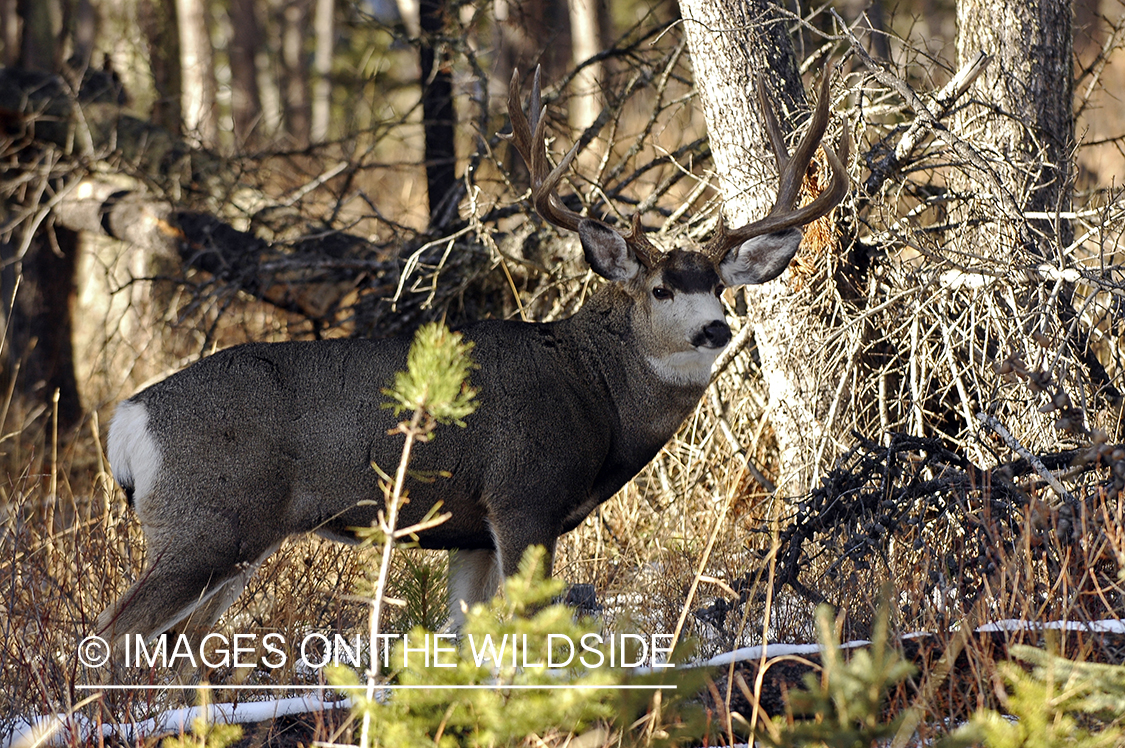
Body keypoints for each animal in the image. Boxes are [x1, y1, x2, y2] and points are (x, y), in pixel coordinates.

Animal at [98, 65, 848, 644]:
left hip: (236, 539)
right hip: (206, 522)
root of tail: (128, 420)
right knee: (113, 634)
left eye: (719, 287)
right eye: (661, 289)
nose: (715, 330)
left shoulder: (469, 534)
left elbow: (465, 640)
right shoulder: (523, 497)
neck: (595, 394)